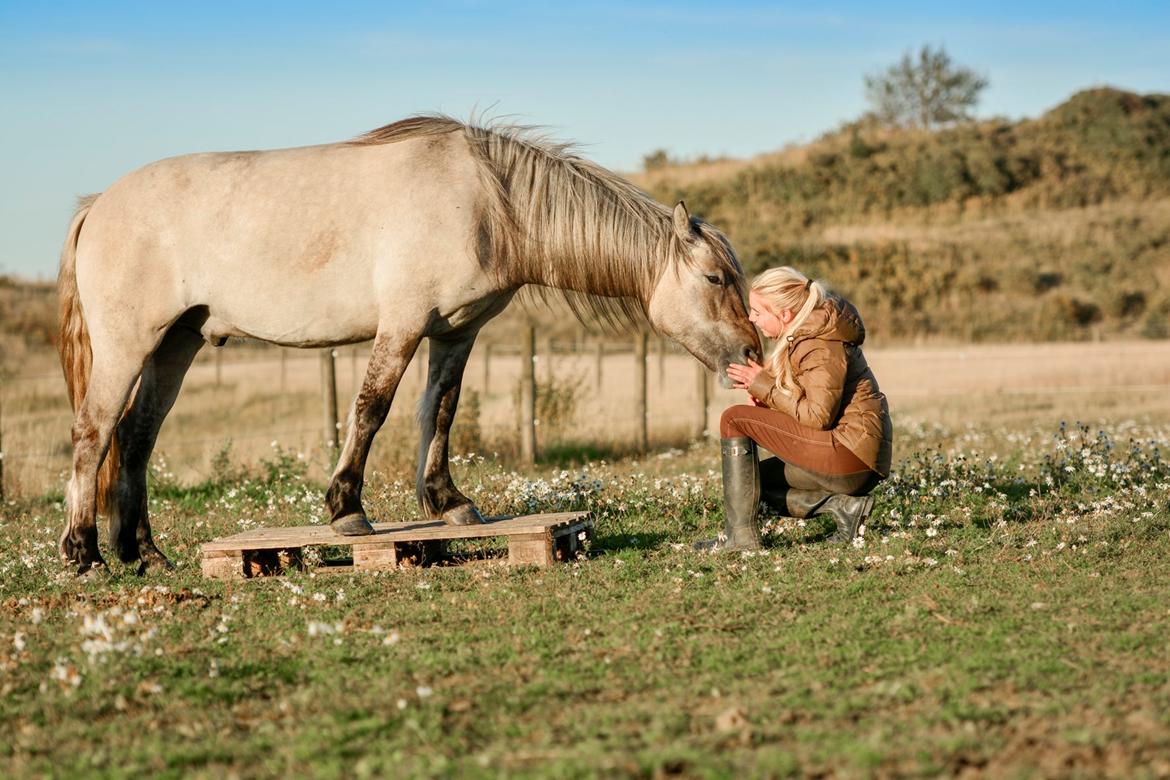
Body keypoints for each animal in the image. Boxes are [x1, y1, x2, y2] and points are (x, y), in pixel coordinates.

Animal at [59, 114, 762, 573]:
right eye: (714, 277)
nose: (752, 354)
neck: (489, 203)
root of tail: (99, 203)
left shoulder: (455, 331)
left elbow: (439, 411)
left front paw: (449, 503)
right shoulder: (400, 325)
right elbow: (372, 408)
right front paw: (346, 510)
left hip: (176, 344)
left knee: (137, 437)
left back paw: (144, 553)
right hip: (128, 346)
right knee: (95, 433)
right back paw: (85, 553)